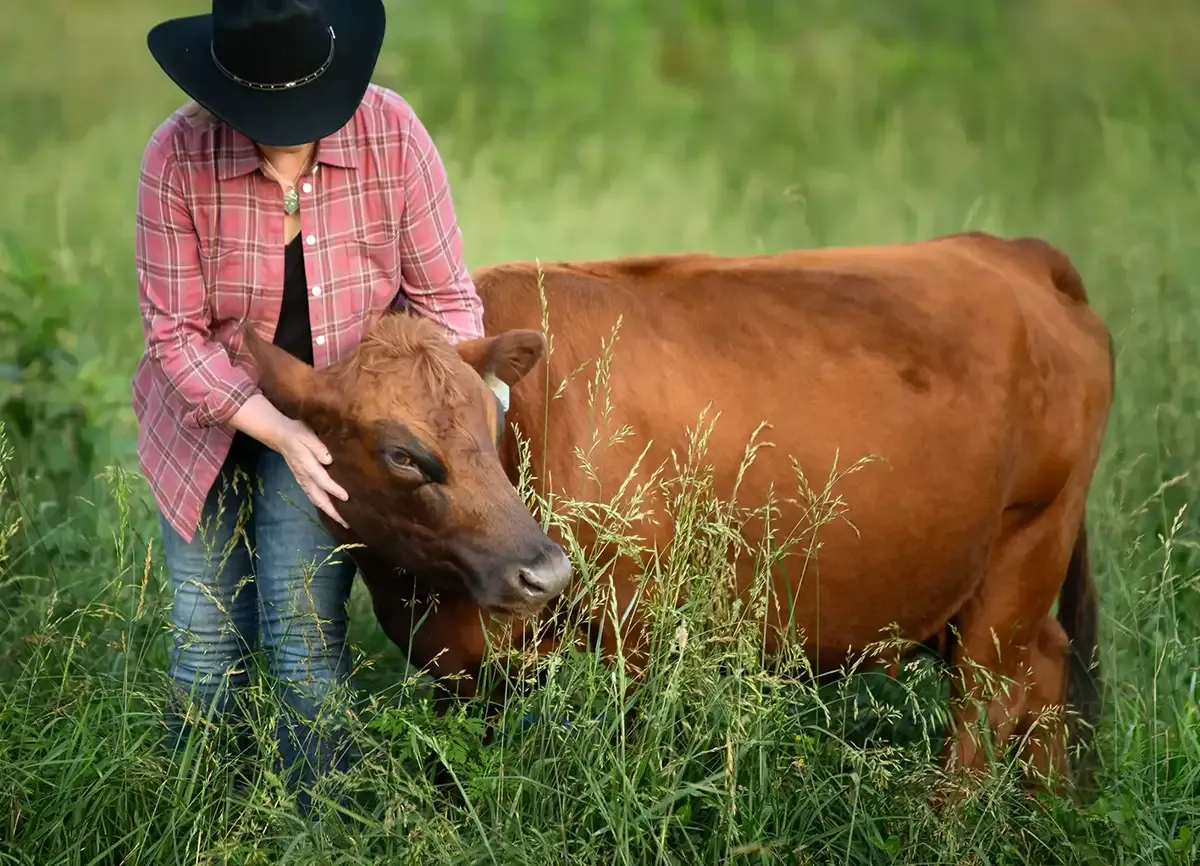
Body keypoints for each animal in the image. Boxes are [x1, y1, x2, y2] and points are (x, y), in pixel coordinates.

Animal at [240, 230, 1114, 793]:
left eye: (492, 422)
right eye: (402, 453)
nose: (543, 570)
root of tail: (1013, 253)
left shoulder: (644, 632)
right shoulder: (473, 670)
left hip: (1023, 553)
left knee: (983, 716)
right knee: (1044, 674)